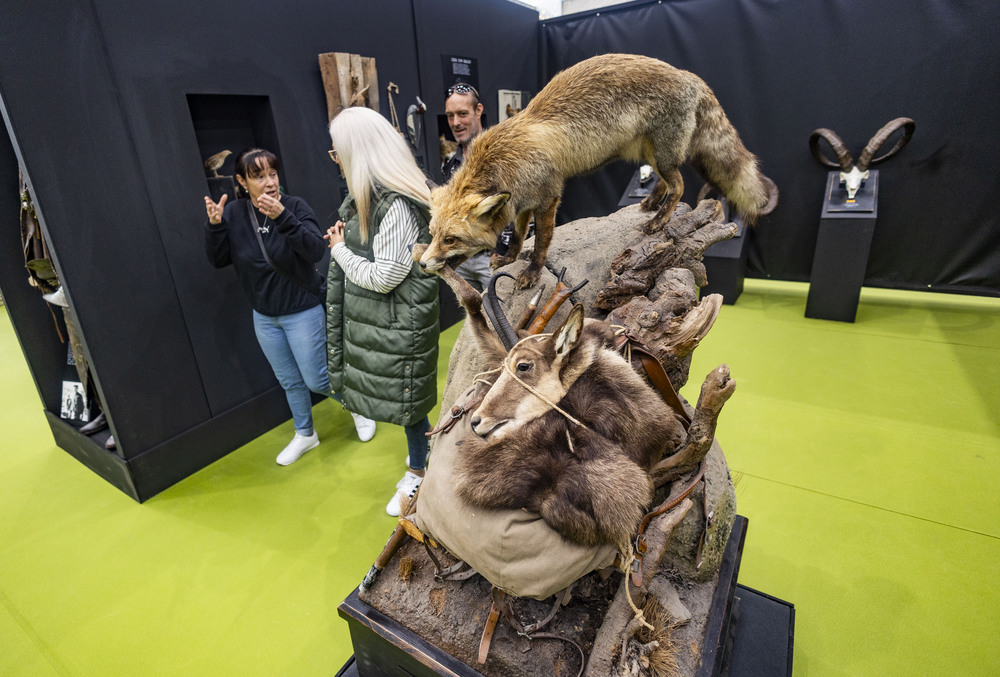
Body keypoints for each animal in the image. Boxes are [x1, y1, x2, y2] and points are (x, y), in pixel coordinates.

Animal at [418, 50, 776, 288]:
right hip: (650, 152)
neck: (505, 160)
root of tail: (687, 74)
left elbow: (542, 242)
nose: (421, 264)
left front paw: (532, 272)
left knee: (679, 186)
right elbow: (518, 236)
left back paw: (660, 220)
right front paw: (509, 258)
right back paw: (650, 203)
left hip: (662, 154)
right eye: (432, 234)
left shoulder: (548, 198)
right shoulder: (520, 204)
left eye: (451, 239)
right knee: (664, 181)